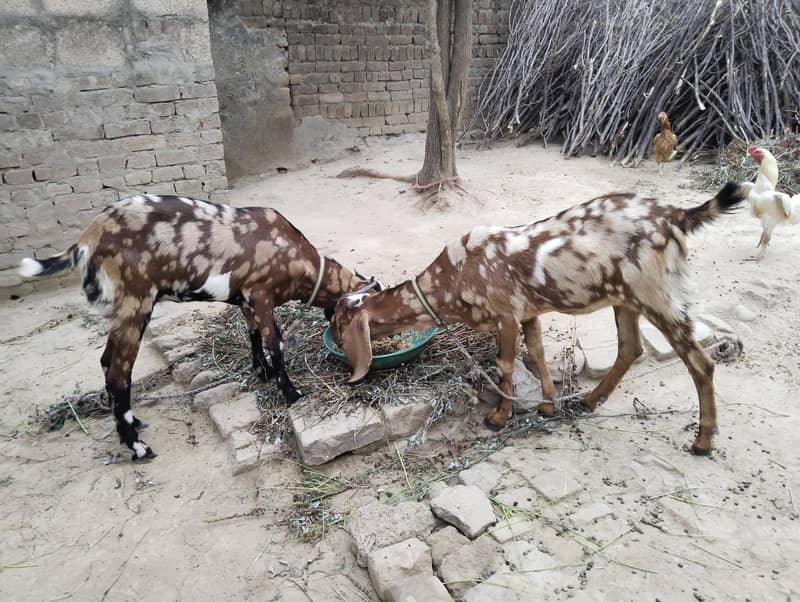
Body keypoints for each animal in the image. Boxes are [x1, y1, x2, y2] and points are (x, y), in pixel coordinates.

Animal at [19, 194, 376, 460]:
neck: (297, 257)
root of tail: (87, 239)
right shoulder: (261, 295)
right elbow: (275, 342)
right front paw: (291, 392)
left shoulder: (246, 299)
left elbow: (253, 335)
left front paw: (260, 372)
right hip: (136, 304)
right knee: (118, 372)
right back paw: (137, 447)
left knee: (107, 362)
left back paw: (134, 424)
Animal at [332, 182, 745, 455]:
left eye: (338, 323)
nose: (334, 347)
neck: (451, 279)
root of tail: (676, 216)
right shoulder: (528, 312)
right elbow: (537, 354)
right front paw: (548, 405)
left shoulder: (505, 314)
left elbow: (505, 364)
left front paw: (498, 417)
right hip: (624, 297)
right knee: (631, 347)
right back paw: (589, 401)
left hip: (657, 294)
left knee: (700, 362)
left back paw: (703, 440)